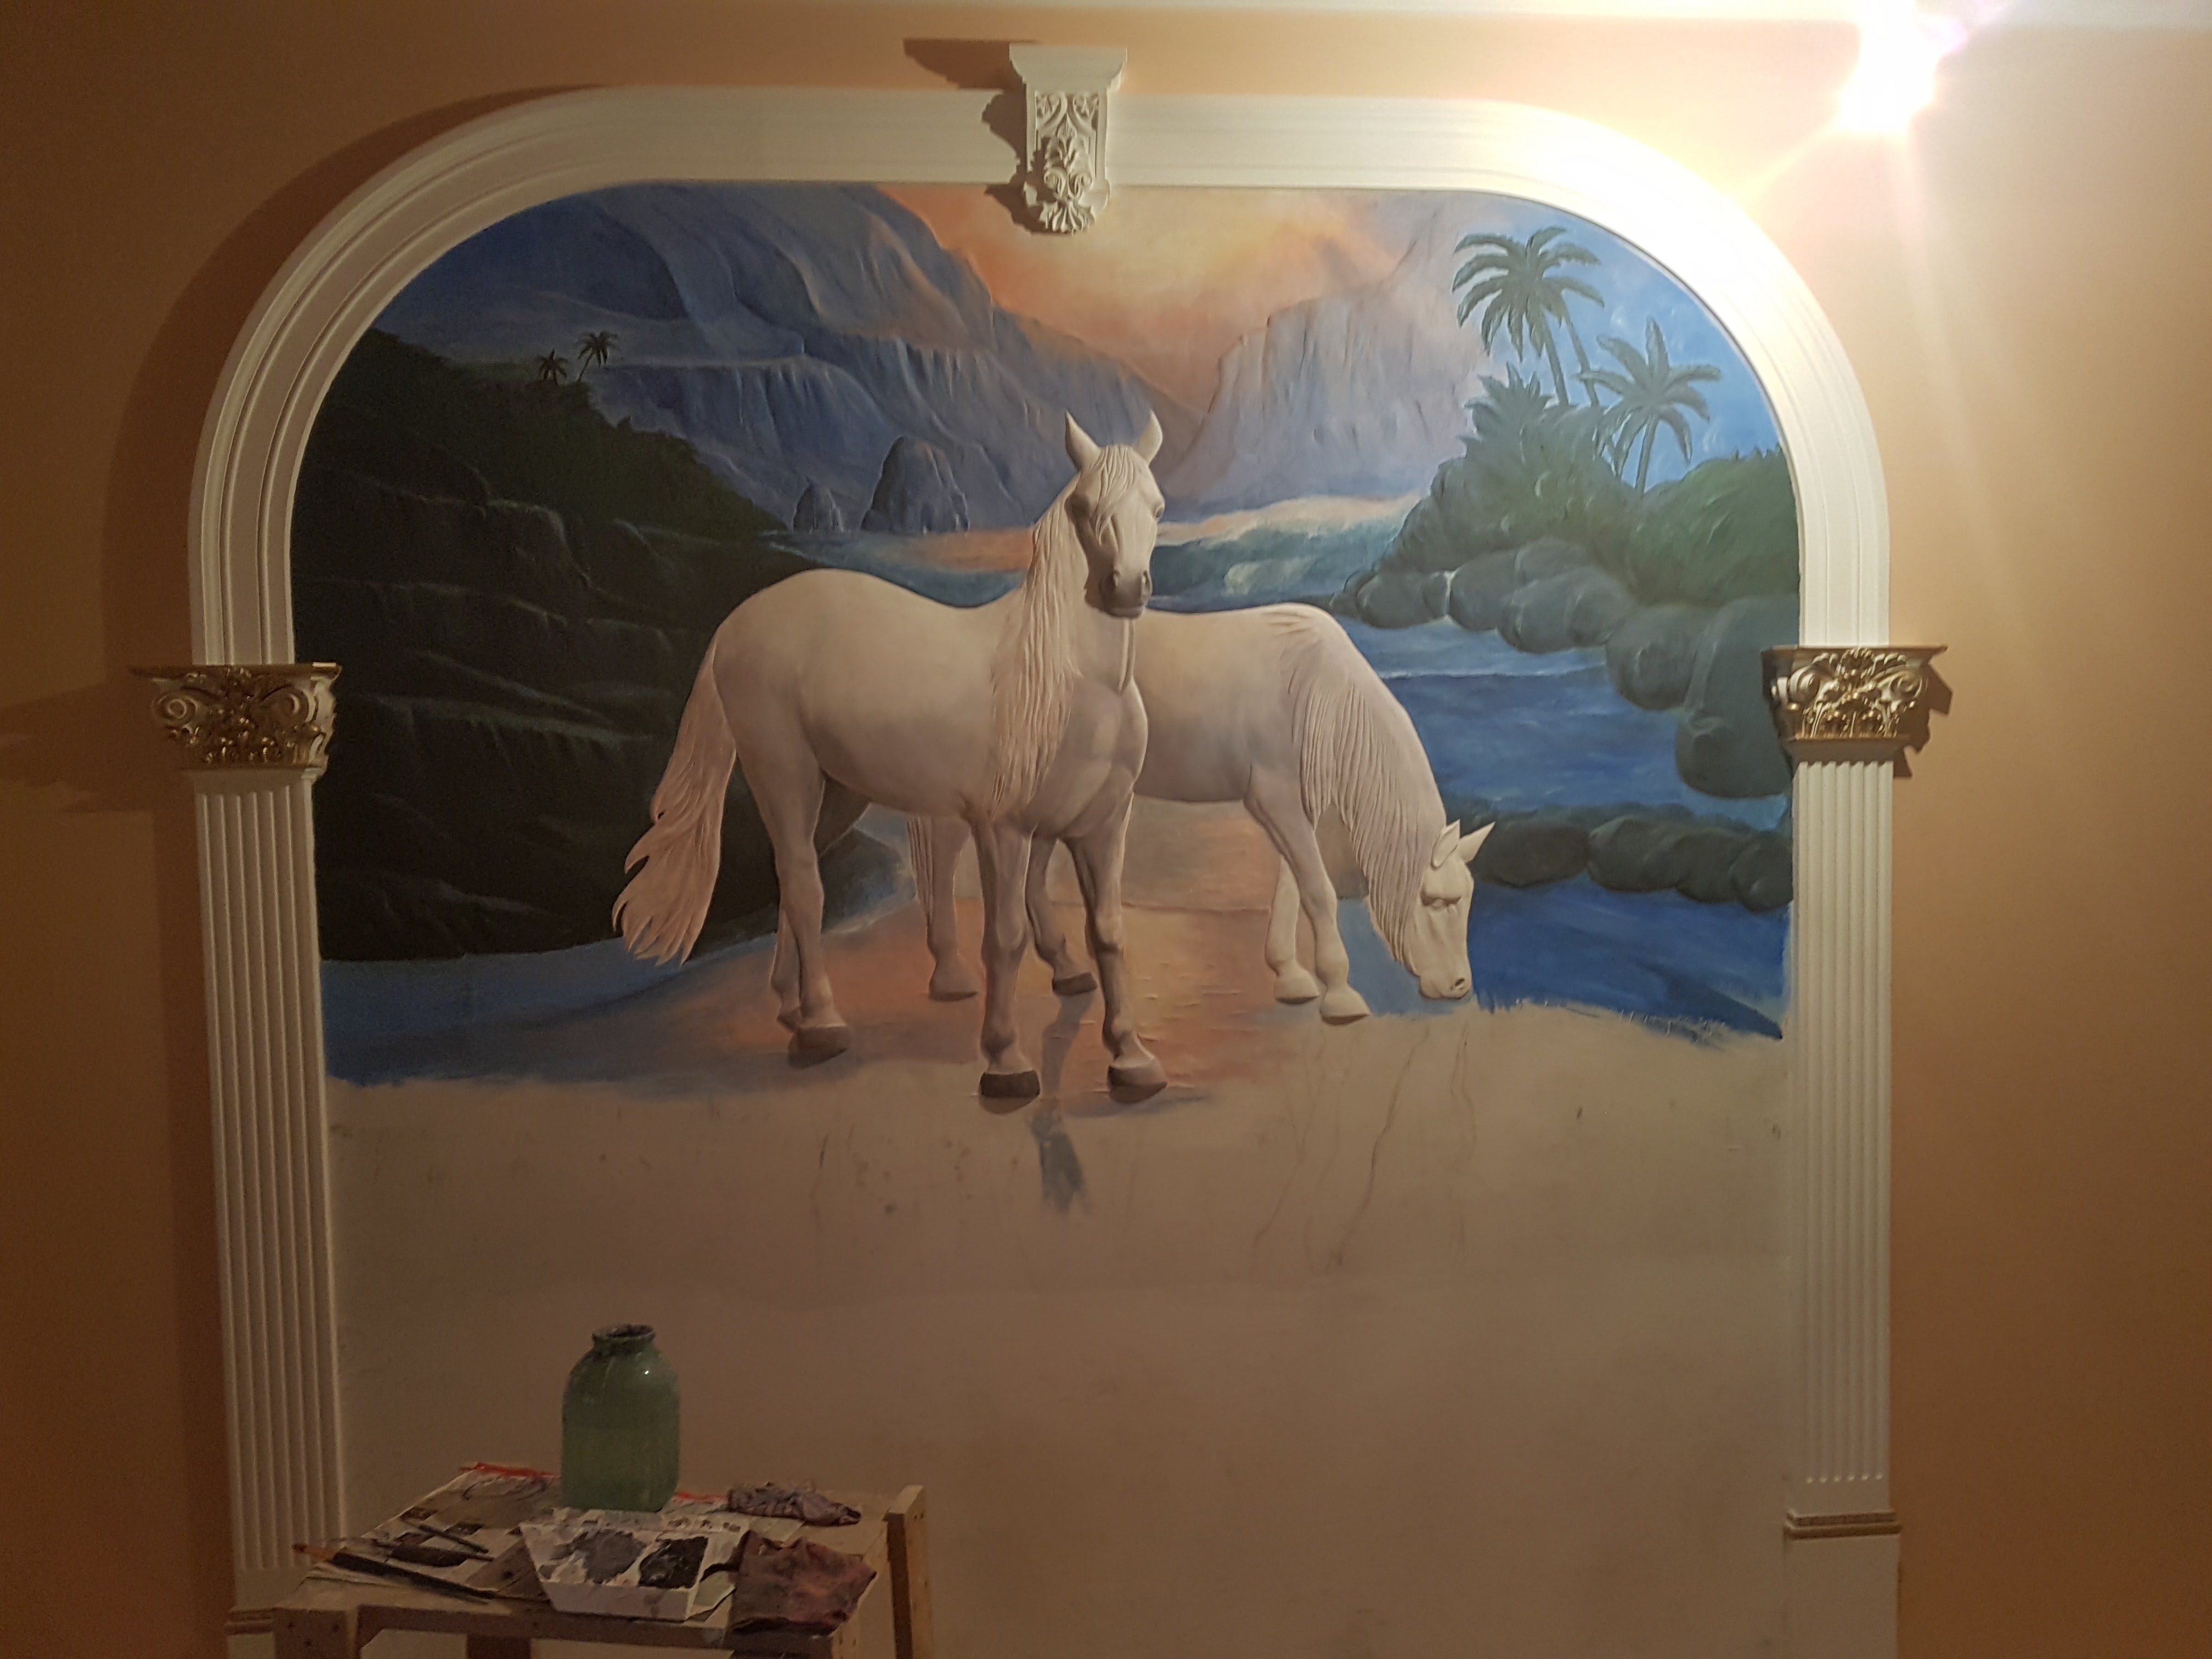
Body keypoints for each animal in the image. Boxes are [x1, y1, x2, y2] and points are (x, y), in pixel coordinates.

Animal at [614, 412, 1170, 1099]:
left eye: (1157, 506)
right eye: (1084, 507)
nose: (1126, 589)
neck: (1072, 679)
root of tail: (739, 620)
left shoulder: (1101, 826)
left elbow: (1109, 933)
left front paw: (1132, 1058)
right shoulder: (1005, 830)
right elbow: (1005, 936)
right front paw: (1006, 1060)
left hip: (839, 792)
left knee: (792, 877)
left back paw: (792, 1004)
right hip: (783, 772)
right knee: (805, 884)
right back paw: (823, 1025)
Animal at [909, 603, 1491, 1023]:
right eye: (1437, 901)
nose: (1460, 986)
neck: (1319, 694)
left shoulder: (1296, 809)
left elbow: (1292, 888)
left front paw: (1291, 976)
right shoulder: (1276, 800)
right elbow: (1317, 891)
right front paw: (1341, 993)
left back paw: (1065, 968)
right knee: (945, 843)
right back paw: (949, 972)